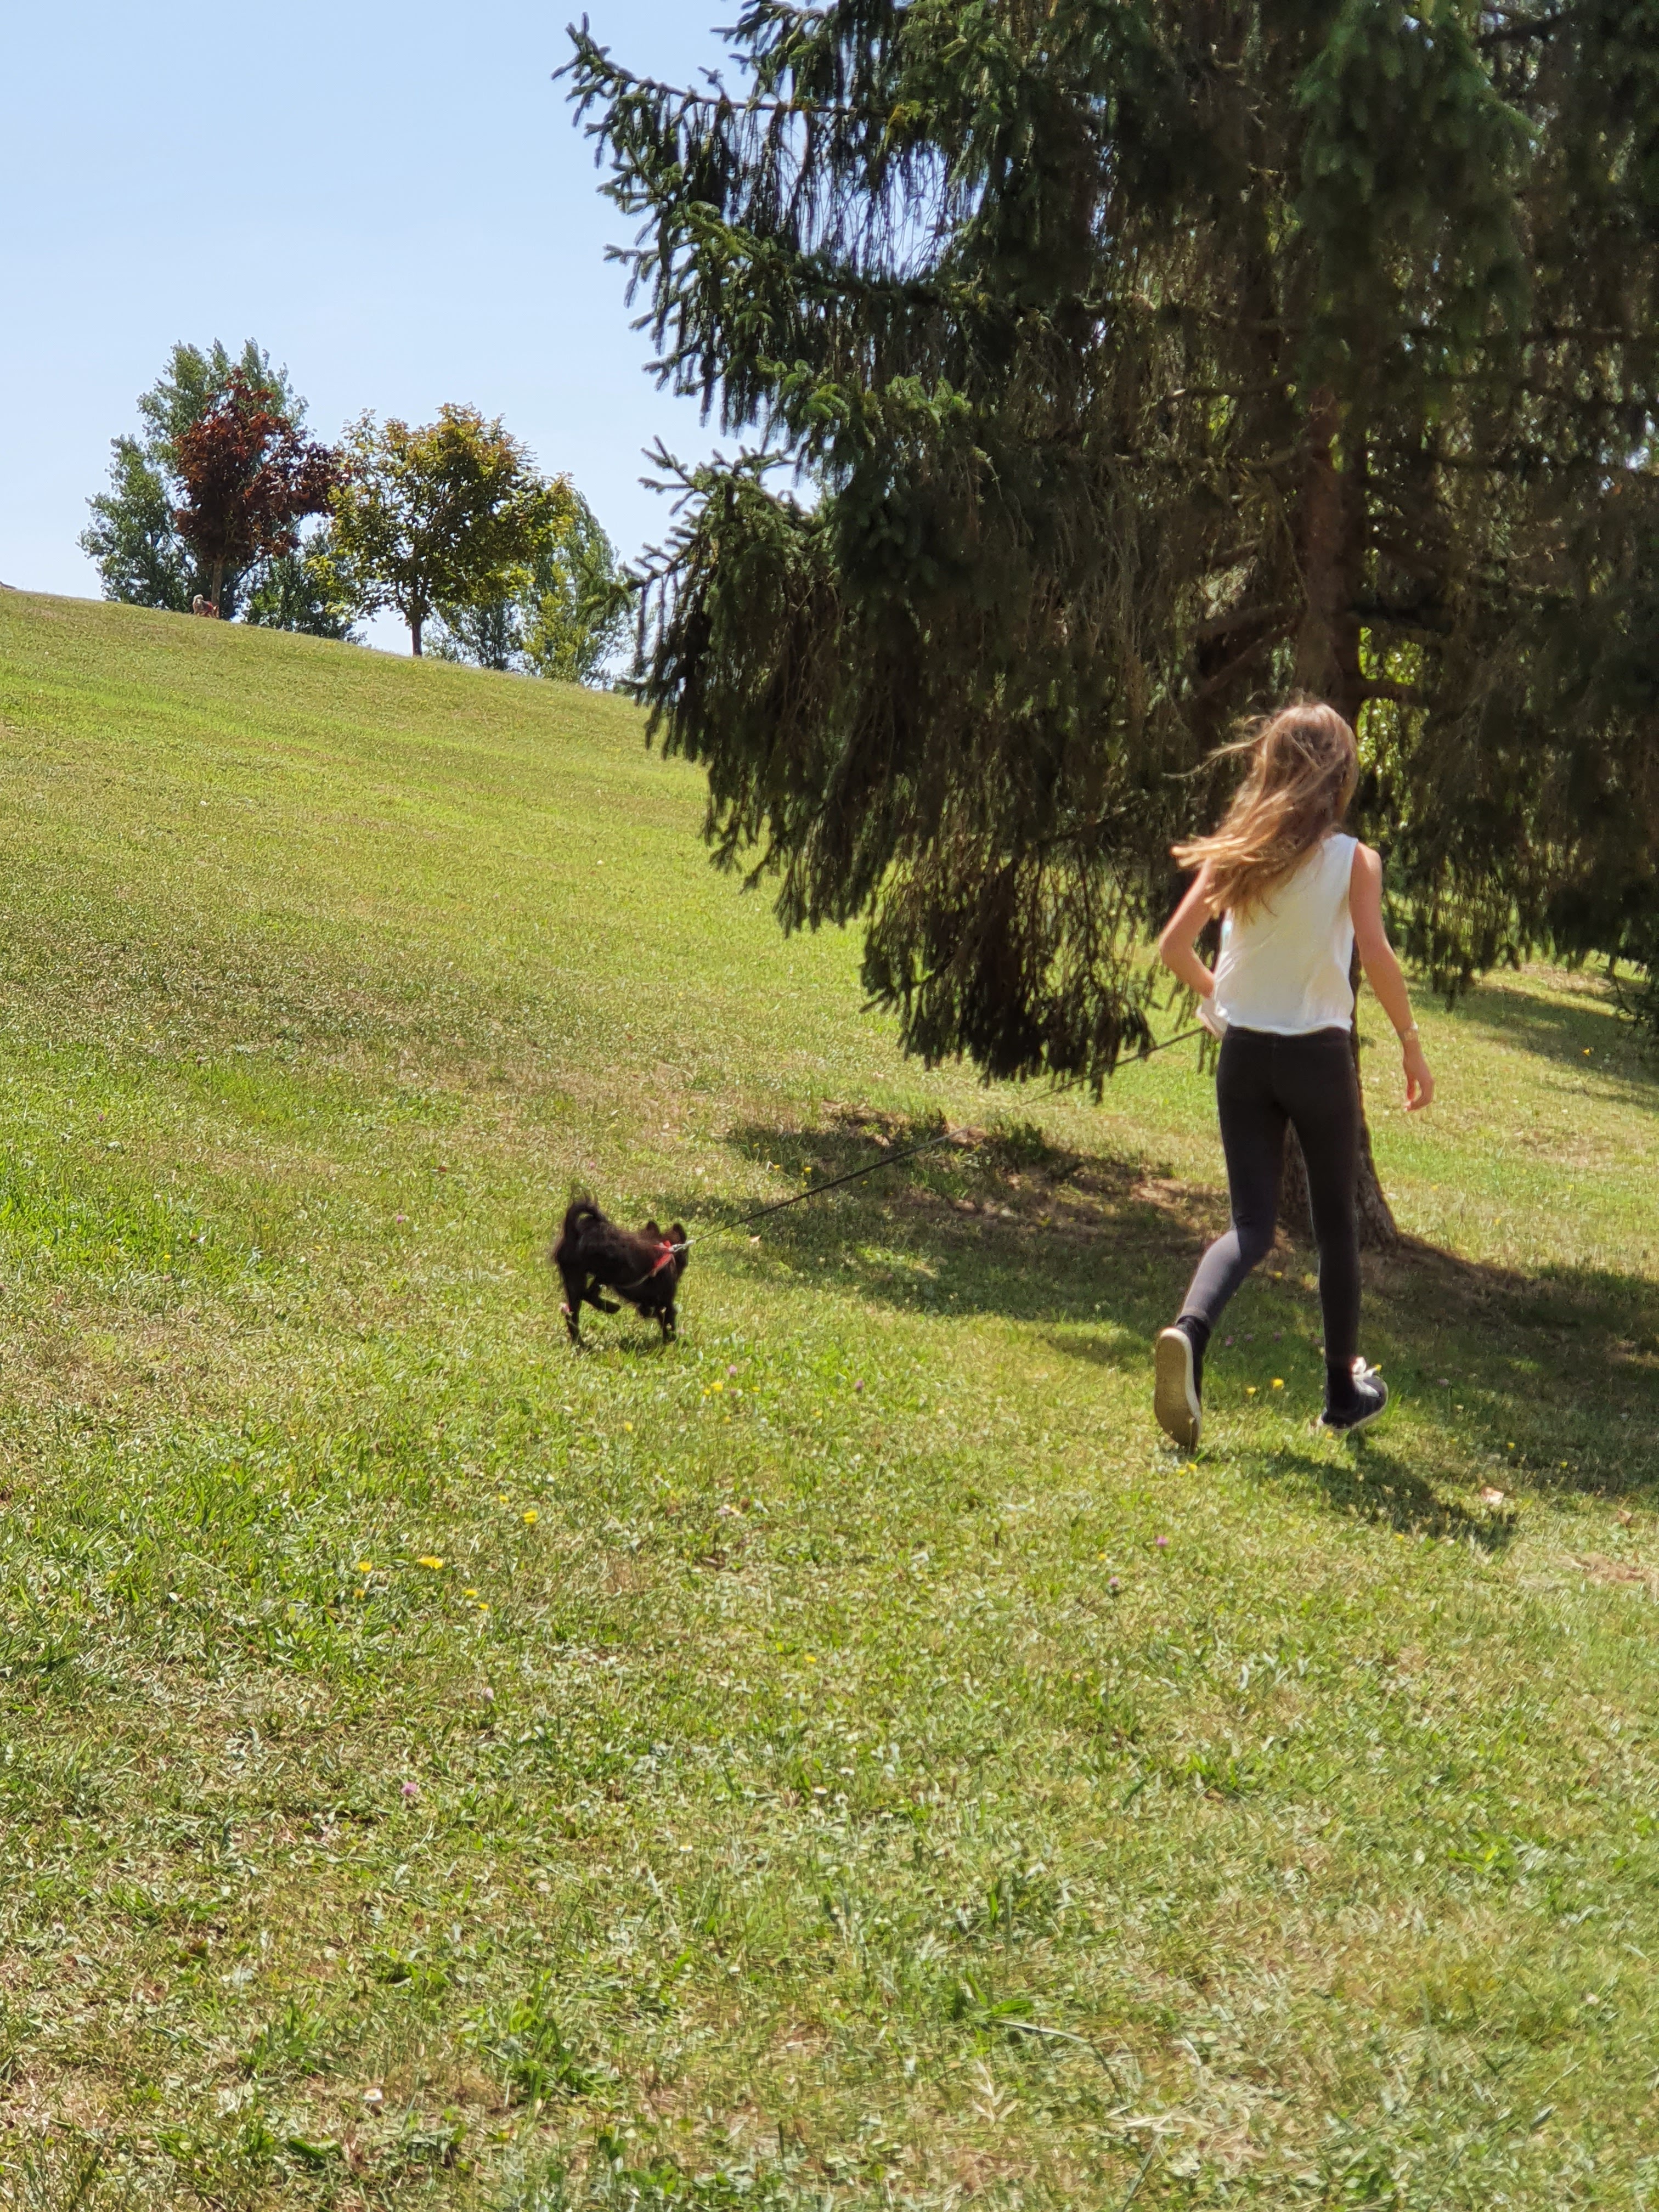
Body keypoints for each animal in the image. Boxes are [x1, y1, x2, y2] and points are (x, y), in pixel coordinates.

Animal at [551, 1197, 688, 1346]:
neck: (667, 1249)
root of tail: (577, 1232)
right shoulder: (667, 1302)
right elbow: (669, 1321)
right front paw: (672, 1341)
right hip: (607, 1273)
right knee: (588, 1295)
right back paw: (611, 1308)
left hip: (575, 1277)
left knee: (573, 1313)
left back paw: (581, 1343)